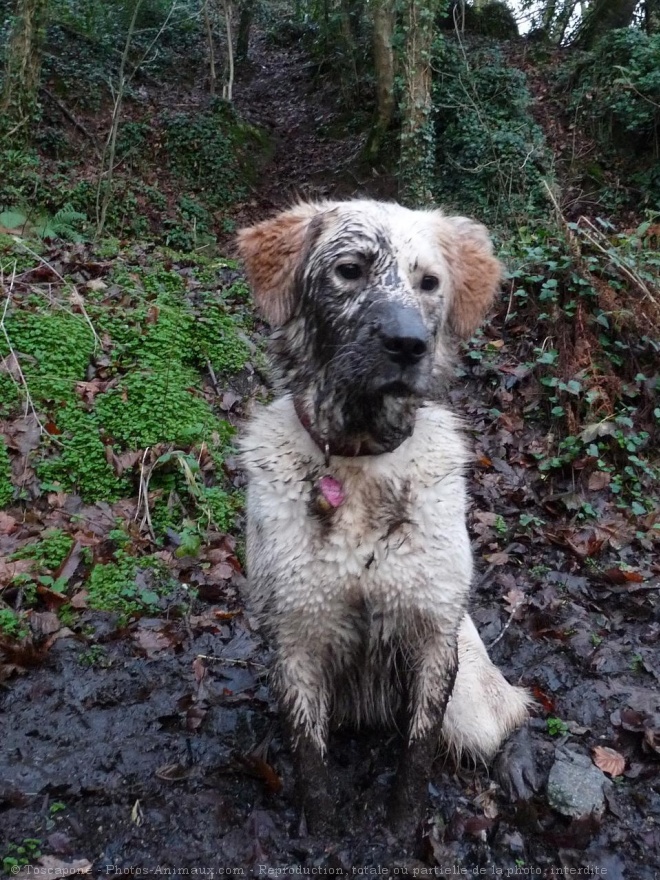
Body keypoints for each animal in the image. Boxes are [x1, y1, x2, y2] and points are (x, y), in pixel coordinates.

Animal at [237, 201, 536, 840]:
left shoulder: (433, 637)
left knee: (507, 713)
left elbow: (418, 754)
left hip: (470, 692)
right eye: (349, 270)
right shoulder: (295, 642)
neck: (359, 458)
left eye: (430, 283)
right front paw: (321, 832)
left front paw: (401, 830)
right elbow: (310, 760)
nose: (408, 345)